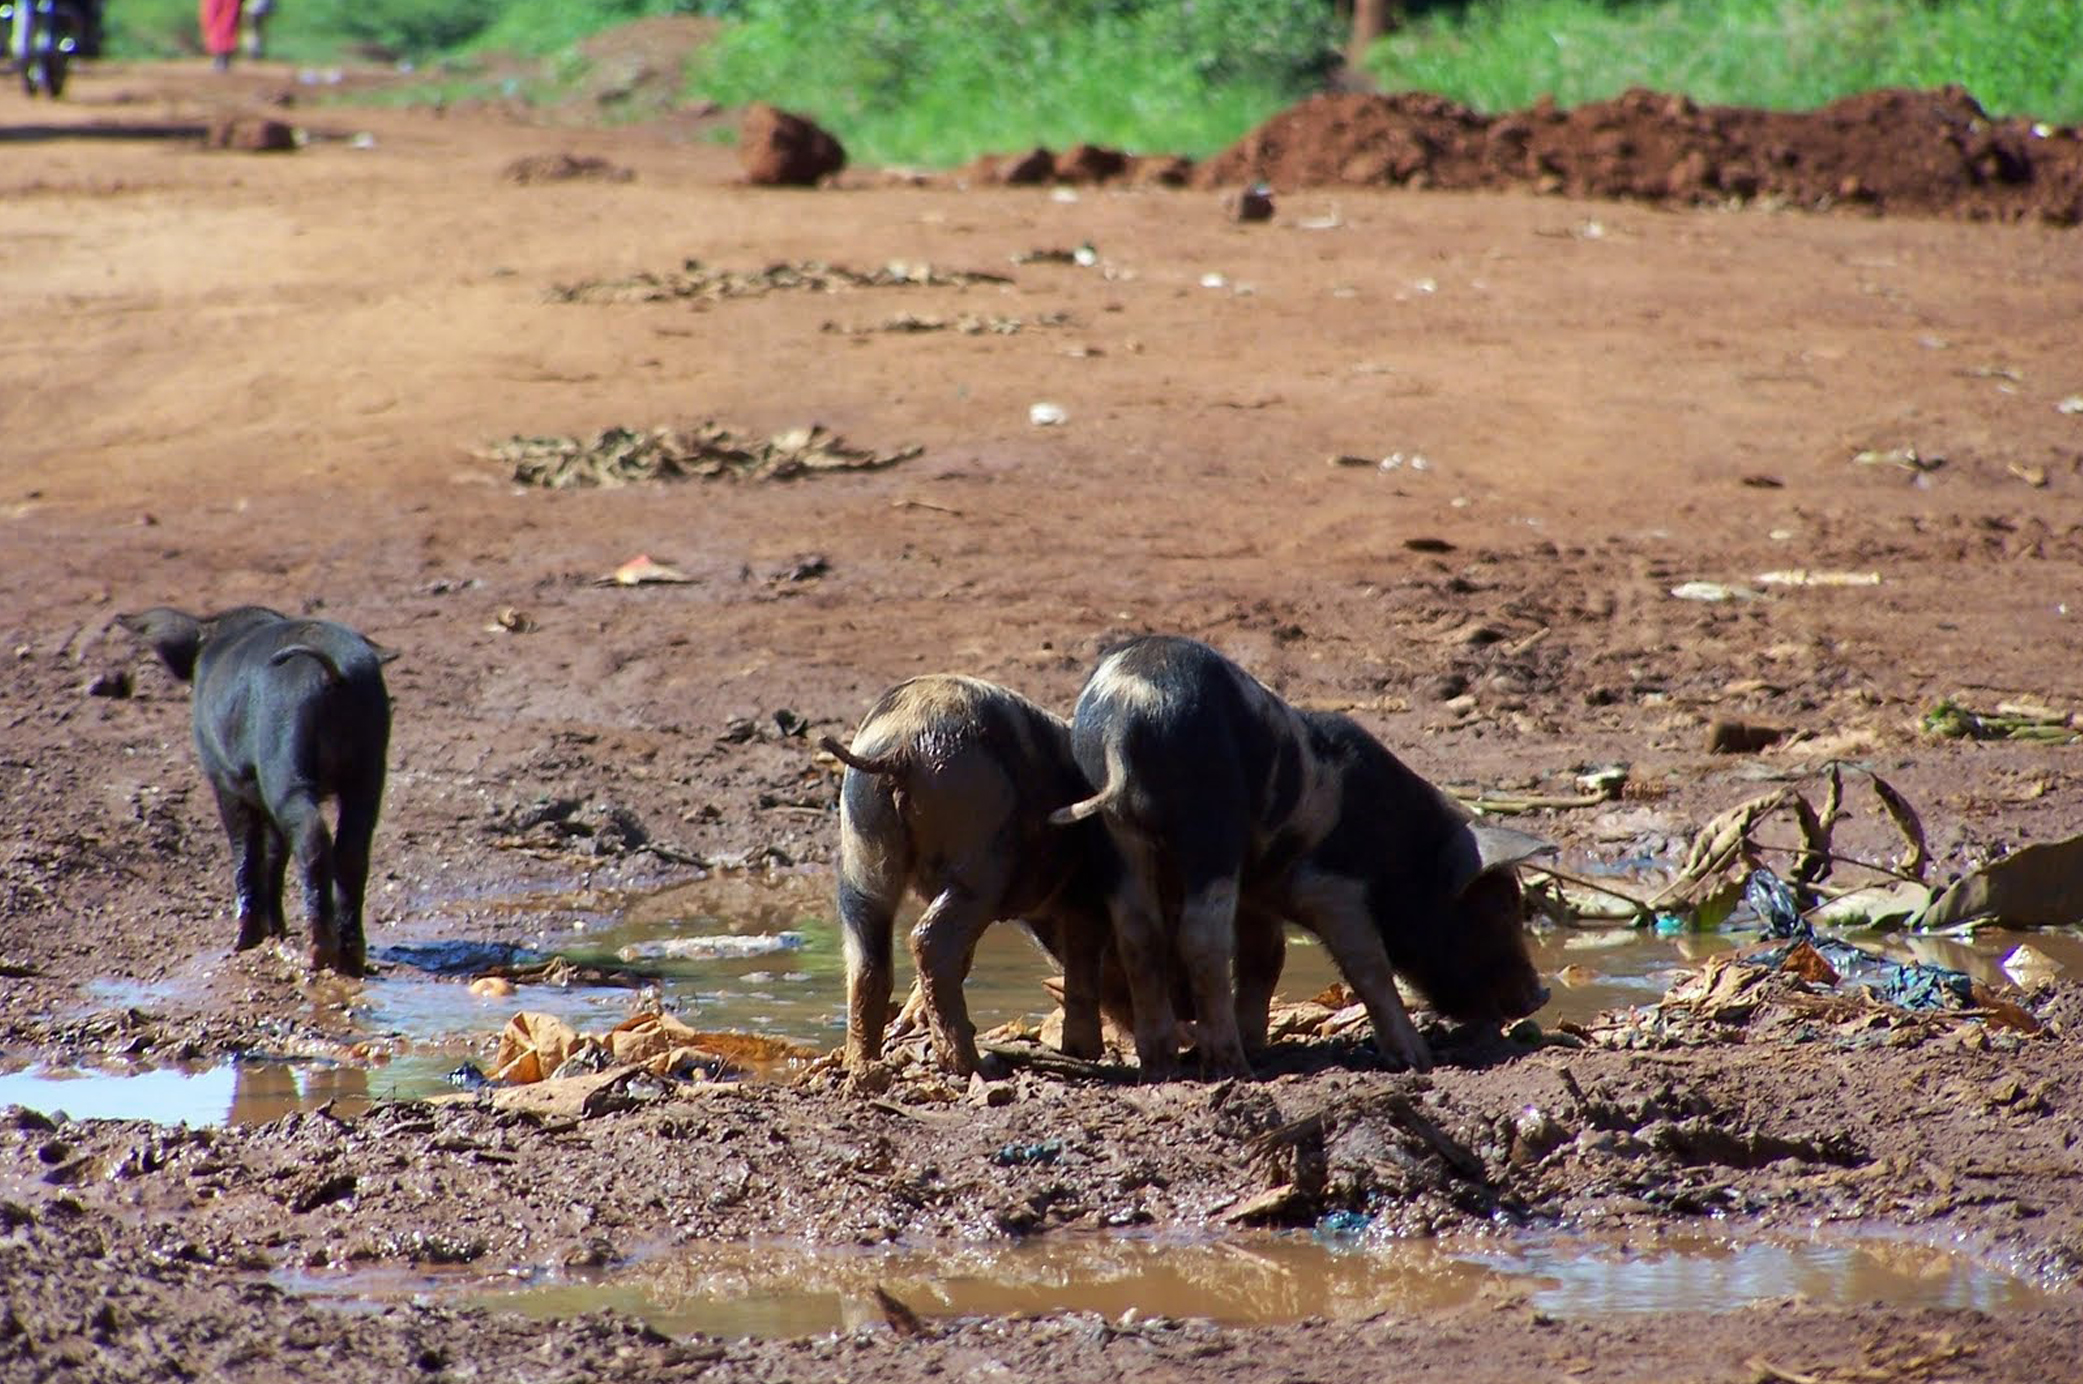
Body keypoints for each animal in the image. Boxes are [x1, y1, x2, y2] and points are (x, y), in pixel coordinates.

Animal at [119, 605, 393, 976]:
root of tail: (332, 672)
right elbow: (275, 850)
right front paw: (276, 932)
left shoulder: (224, 777)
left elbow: (246, 849)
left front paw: (242, 944)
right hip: (370, 764)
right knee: (351, 849)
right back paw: (350, 961)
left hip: (283, 762)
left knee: (312, 836)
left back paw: (316, 956)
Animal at [821, 674, 1126, 1078]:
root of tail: (901, 748)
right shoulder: (1086, 898)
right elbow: (1083, 964)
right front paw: (1085, 1054)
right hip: (979, 858)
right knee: (930, 941)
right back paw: (975, 1065)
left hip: (862, 856)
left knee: (869, 960)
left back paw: (863, 1063)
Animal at [1052, 635, 1551, 1080]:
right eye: (1499, 906)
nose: (1540, 995)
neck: (1404, 850)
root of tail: (1122, 723)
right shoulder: (1333, 888)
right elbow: (1368, 963)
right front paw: (1417, 1060)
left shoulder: (1258, 894)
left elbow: (1266, 957)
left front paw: (1260, 1042)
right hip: (1210, 828)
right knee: (1202, 937)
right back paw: (1233, 1067)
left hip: (1116, 836)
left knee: (1140, 935)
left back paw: (1163, 1067)